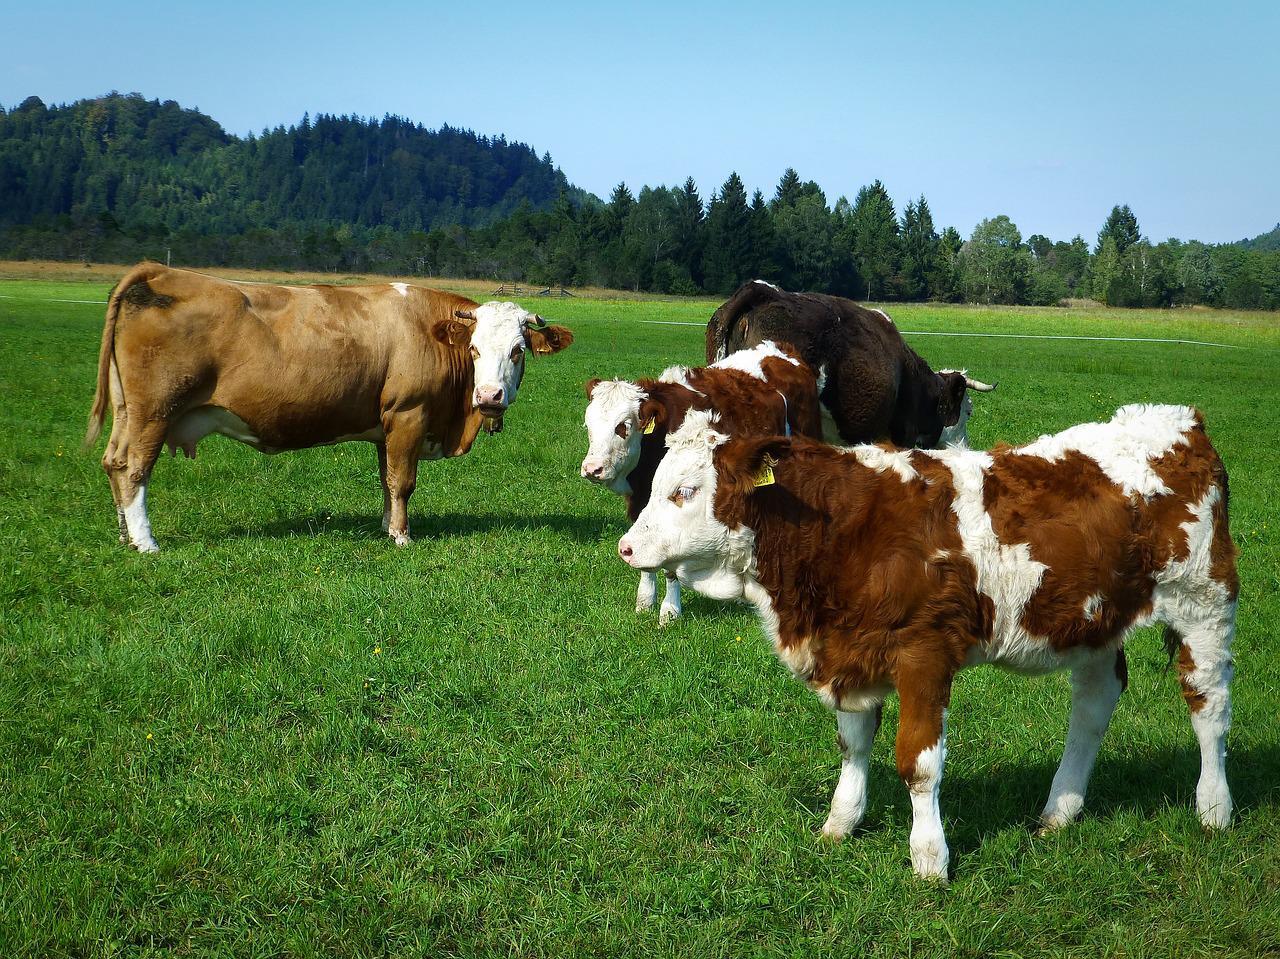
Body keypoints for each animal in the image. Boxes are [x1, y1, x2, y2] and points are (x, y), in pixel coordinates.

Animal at [85, 262, 576, 550]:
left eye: (518, 351)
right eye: (473, 349)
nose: (489, 396)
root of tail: (160, 272)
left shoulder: (386, 425)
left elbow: (386, 480)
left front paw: (386, 526)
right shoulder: (409, 414)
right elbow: (403, 482)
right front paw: (402, 537)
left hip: (128, 412)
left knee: (113, 462)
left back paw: (125, 534)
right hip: (154, 411)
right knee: (134, 469)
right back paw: (145, 542)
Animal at [581, 340, 819, 624]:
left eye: (623, 426)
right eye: (588, 425)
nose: (592, 469)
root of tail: (779, 348)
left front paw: (669, 611)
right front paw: (645, 601)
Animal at [619, 402, 1239, 875]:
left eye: (685, 491)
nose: (626, 548)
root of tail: (1178, 420)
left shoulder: (924, 653)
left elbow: (917, 762)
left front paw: (929, 858)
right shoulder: (850, 653)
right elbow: (854, 745)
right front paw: (840, 823)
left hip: (1204, 602)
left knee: (1208, 708)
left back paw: (1214, 809)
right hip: (1094, 619)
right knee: (1093, 705)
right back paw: (1059, 810)